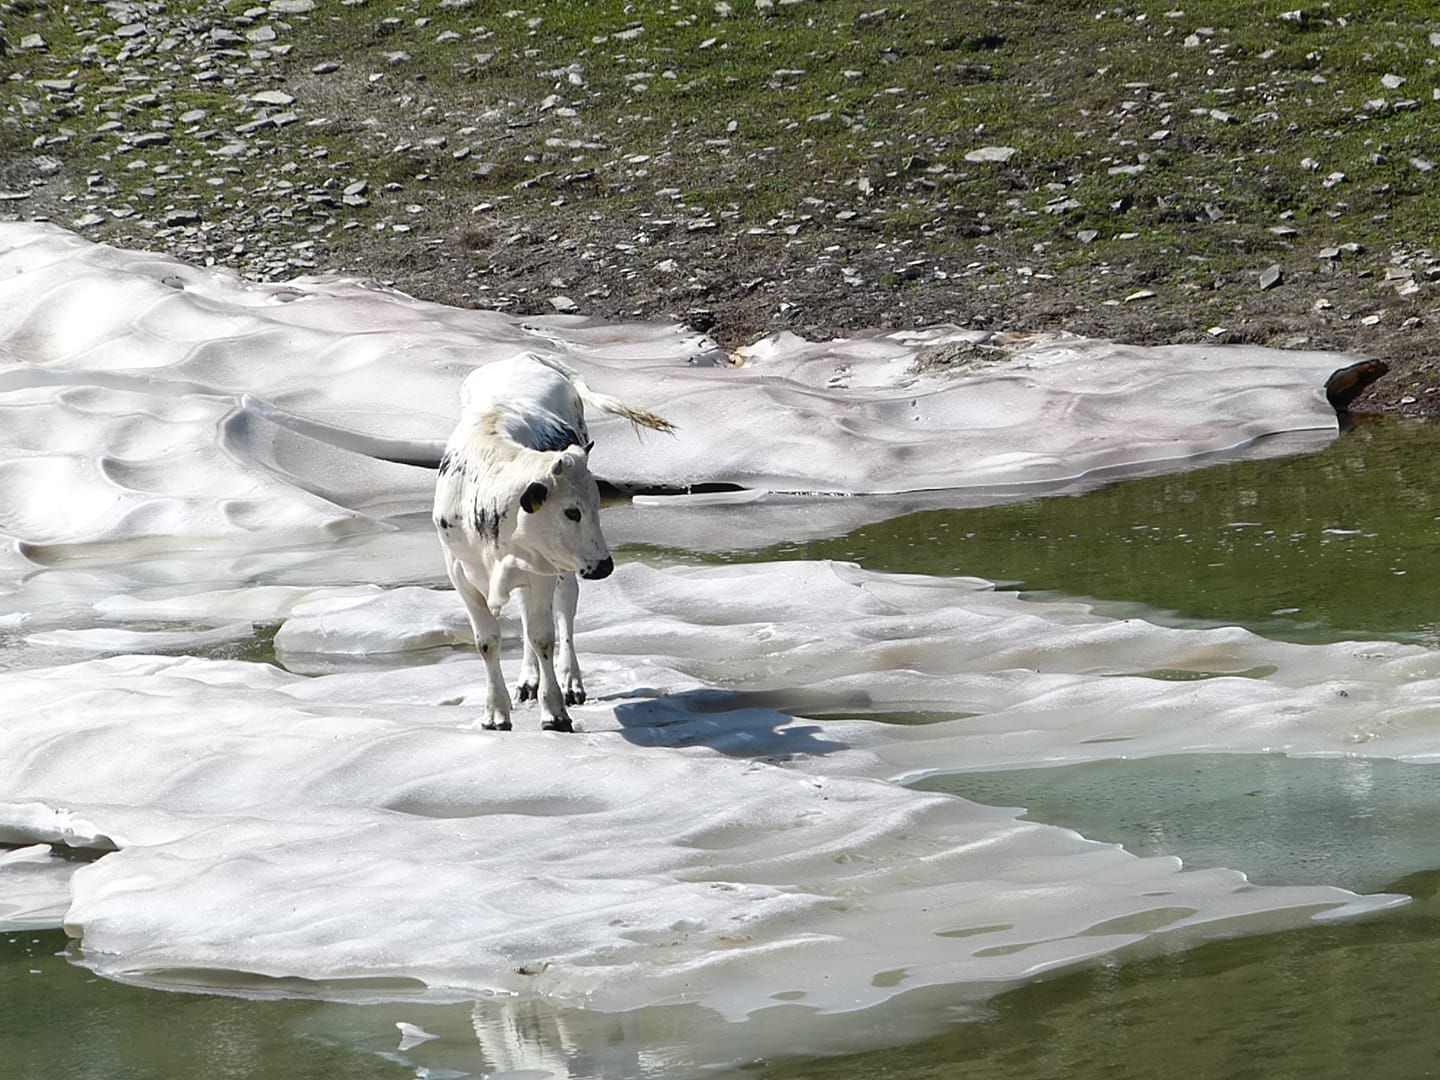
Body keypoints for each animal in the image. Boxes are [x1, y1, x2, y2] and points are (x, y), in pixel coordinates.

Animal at [432, 355, 673, 737]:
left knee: (563, 612)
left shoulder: (541, 570)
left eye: (596, 504)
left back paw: (571, 681)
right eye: (571, 511)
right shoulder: (460, 573)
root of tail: (525, 357)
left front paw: (555, 712)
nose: (605, 566)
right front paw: (495, 712)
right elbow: (487, 641)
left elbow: (542, 635)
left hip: (563, 569)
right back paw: (527, 681)